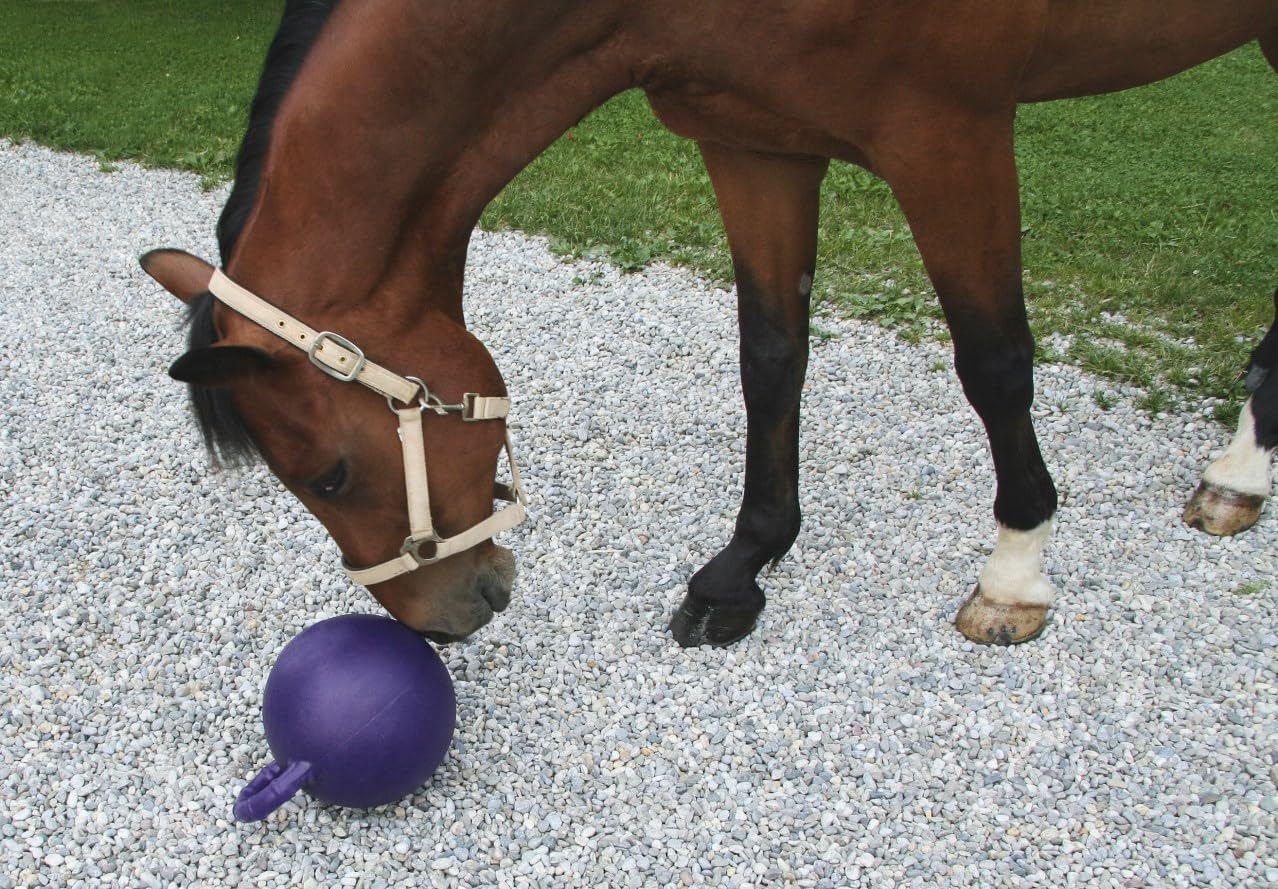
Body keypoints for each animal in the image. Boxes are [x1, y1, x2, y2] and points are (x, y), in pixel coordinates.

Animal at [140, 0, 1278, 648]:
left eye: (330, 473)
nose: (442, 621)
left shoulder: (949, 133)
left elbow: (994, 360)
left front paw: (1015, 572)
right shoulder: (755, 141)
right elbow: (771, 354)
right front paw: (745, 566)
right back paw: (1243, 467)